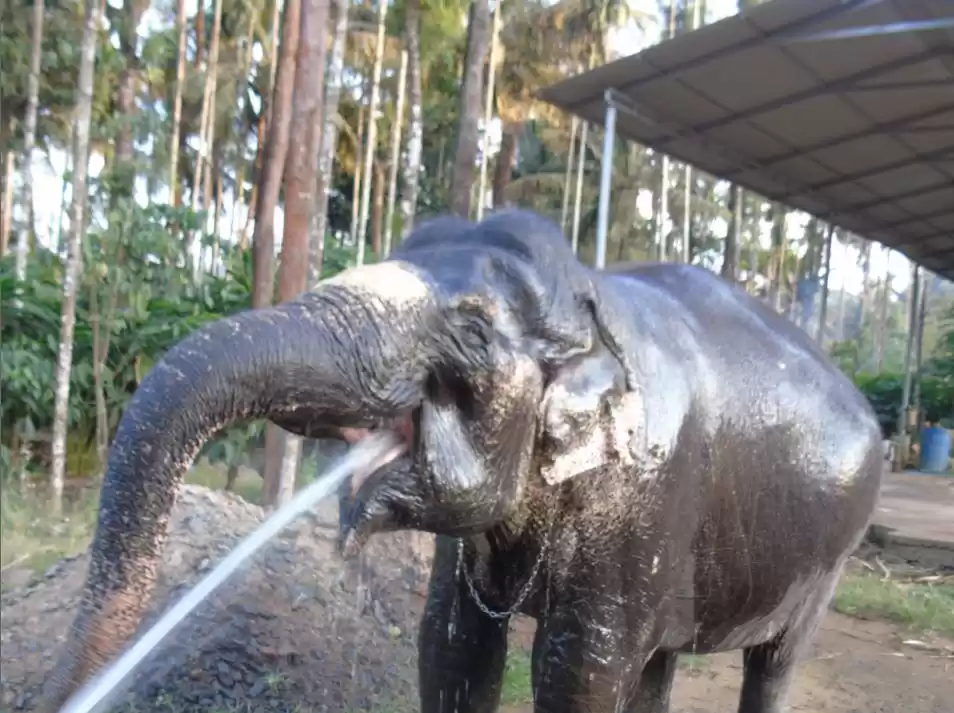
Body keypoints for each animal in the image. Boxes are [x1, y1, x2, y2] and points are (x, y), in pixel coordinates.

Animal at [40, 209, 883, 713]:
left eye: (473, 332)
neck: (592, 297)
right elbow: (452, 645)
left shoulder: (647, 499)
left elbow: (580, 668)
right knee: (661, 662)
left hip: (831, 559)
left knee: (772, 664)